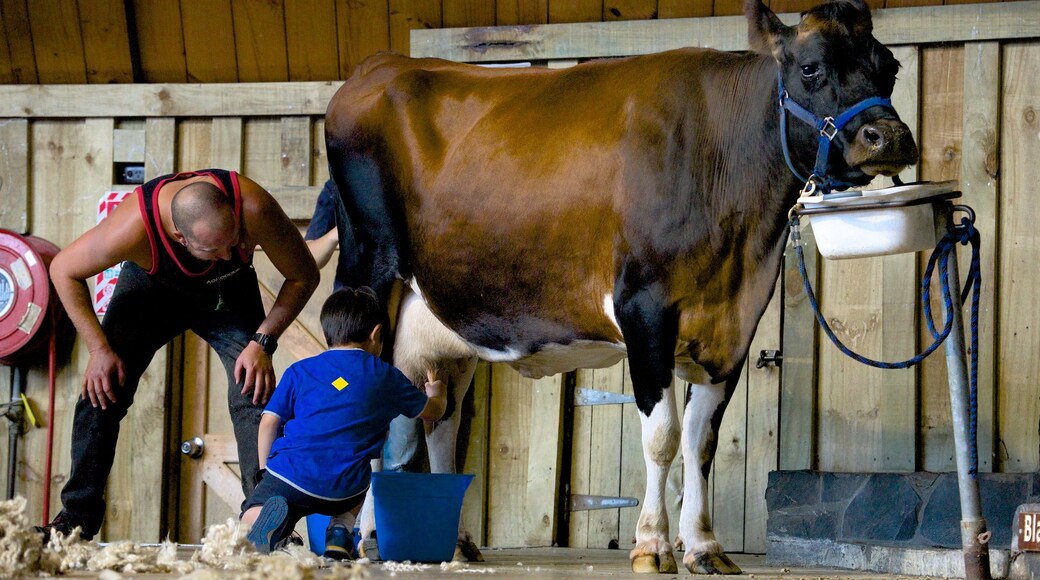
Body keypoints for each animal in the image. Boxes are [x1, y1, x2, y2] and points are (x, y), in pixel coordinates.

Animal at [326, 0, 919, 573]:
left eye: (890, 67)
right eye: (811, 68)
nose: (887, 137)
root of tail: (380, 66)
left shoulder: (734, 326)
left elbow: (701, 444)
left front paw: (703, 546)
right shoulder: (645, 309)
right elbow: (663, 438)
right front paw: (652, 544)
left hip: (448, 319)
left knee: (443, 419)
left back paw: (455, 542)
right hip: (367, 272)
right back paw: (364, 540)